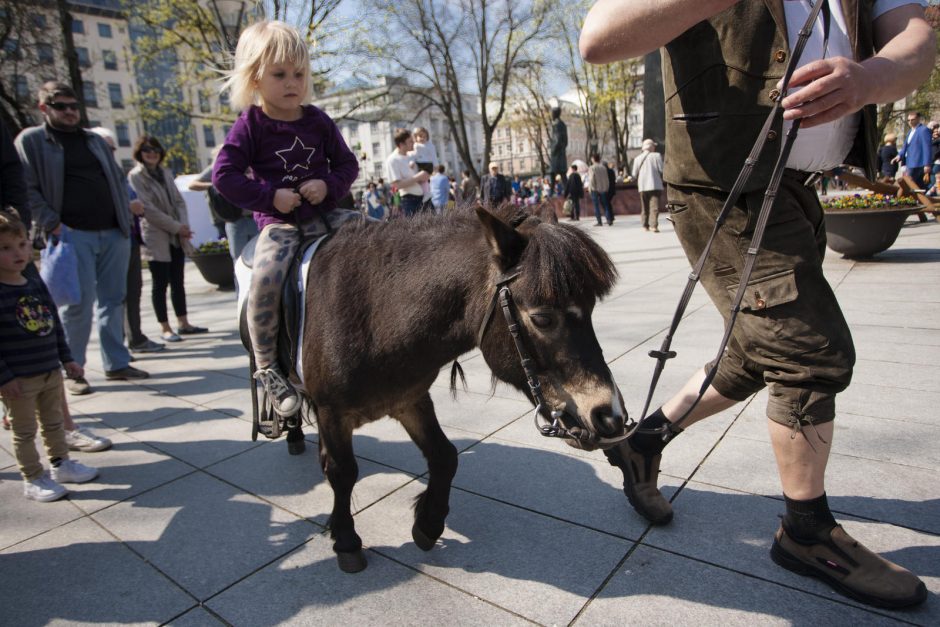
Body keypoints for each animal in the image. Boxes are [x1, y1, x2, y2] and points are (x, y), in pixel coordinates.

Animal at [302, 206, 624, 576]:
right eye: (543, 319)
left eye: (591, 310)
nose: (609, 416)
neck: (373, 316)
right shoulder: (332, 411)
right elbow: (343, 472)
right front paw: (346, 540)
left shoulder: (409, 399)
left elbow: (444, 457)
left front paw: (428, 524)